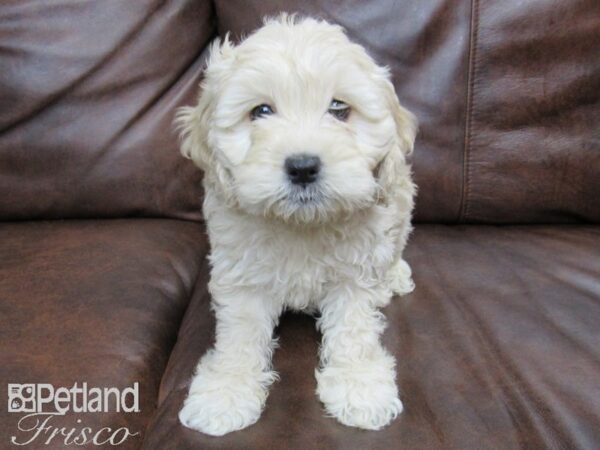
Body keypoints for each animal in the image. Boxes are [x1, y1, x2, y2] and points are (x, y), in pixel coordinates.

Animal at [176, 14, 414, 436]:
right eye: (260, 111)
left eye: (339, 108)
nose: (303, 167)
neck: (302, 225)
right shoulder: (242, 274)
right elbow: (239, 333)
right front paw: (226, 391)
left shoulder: (355, 274)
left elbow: (354, 329)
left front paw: (360, 387)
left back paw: (395, 276)